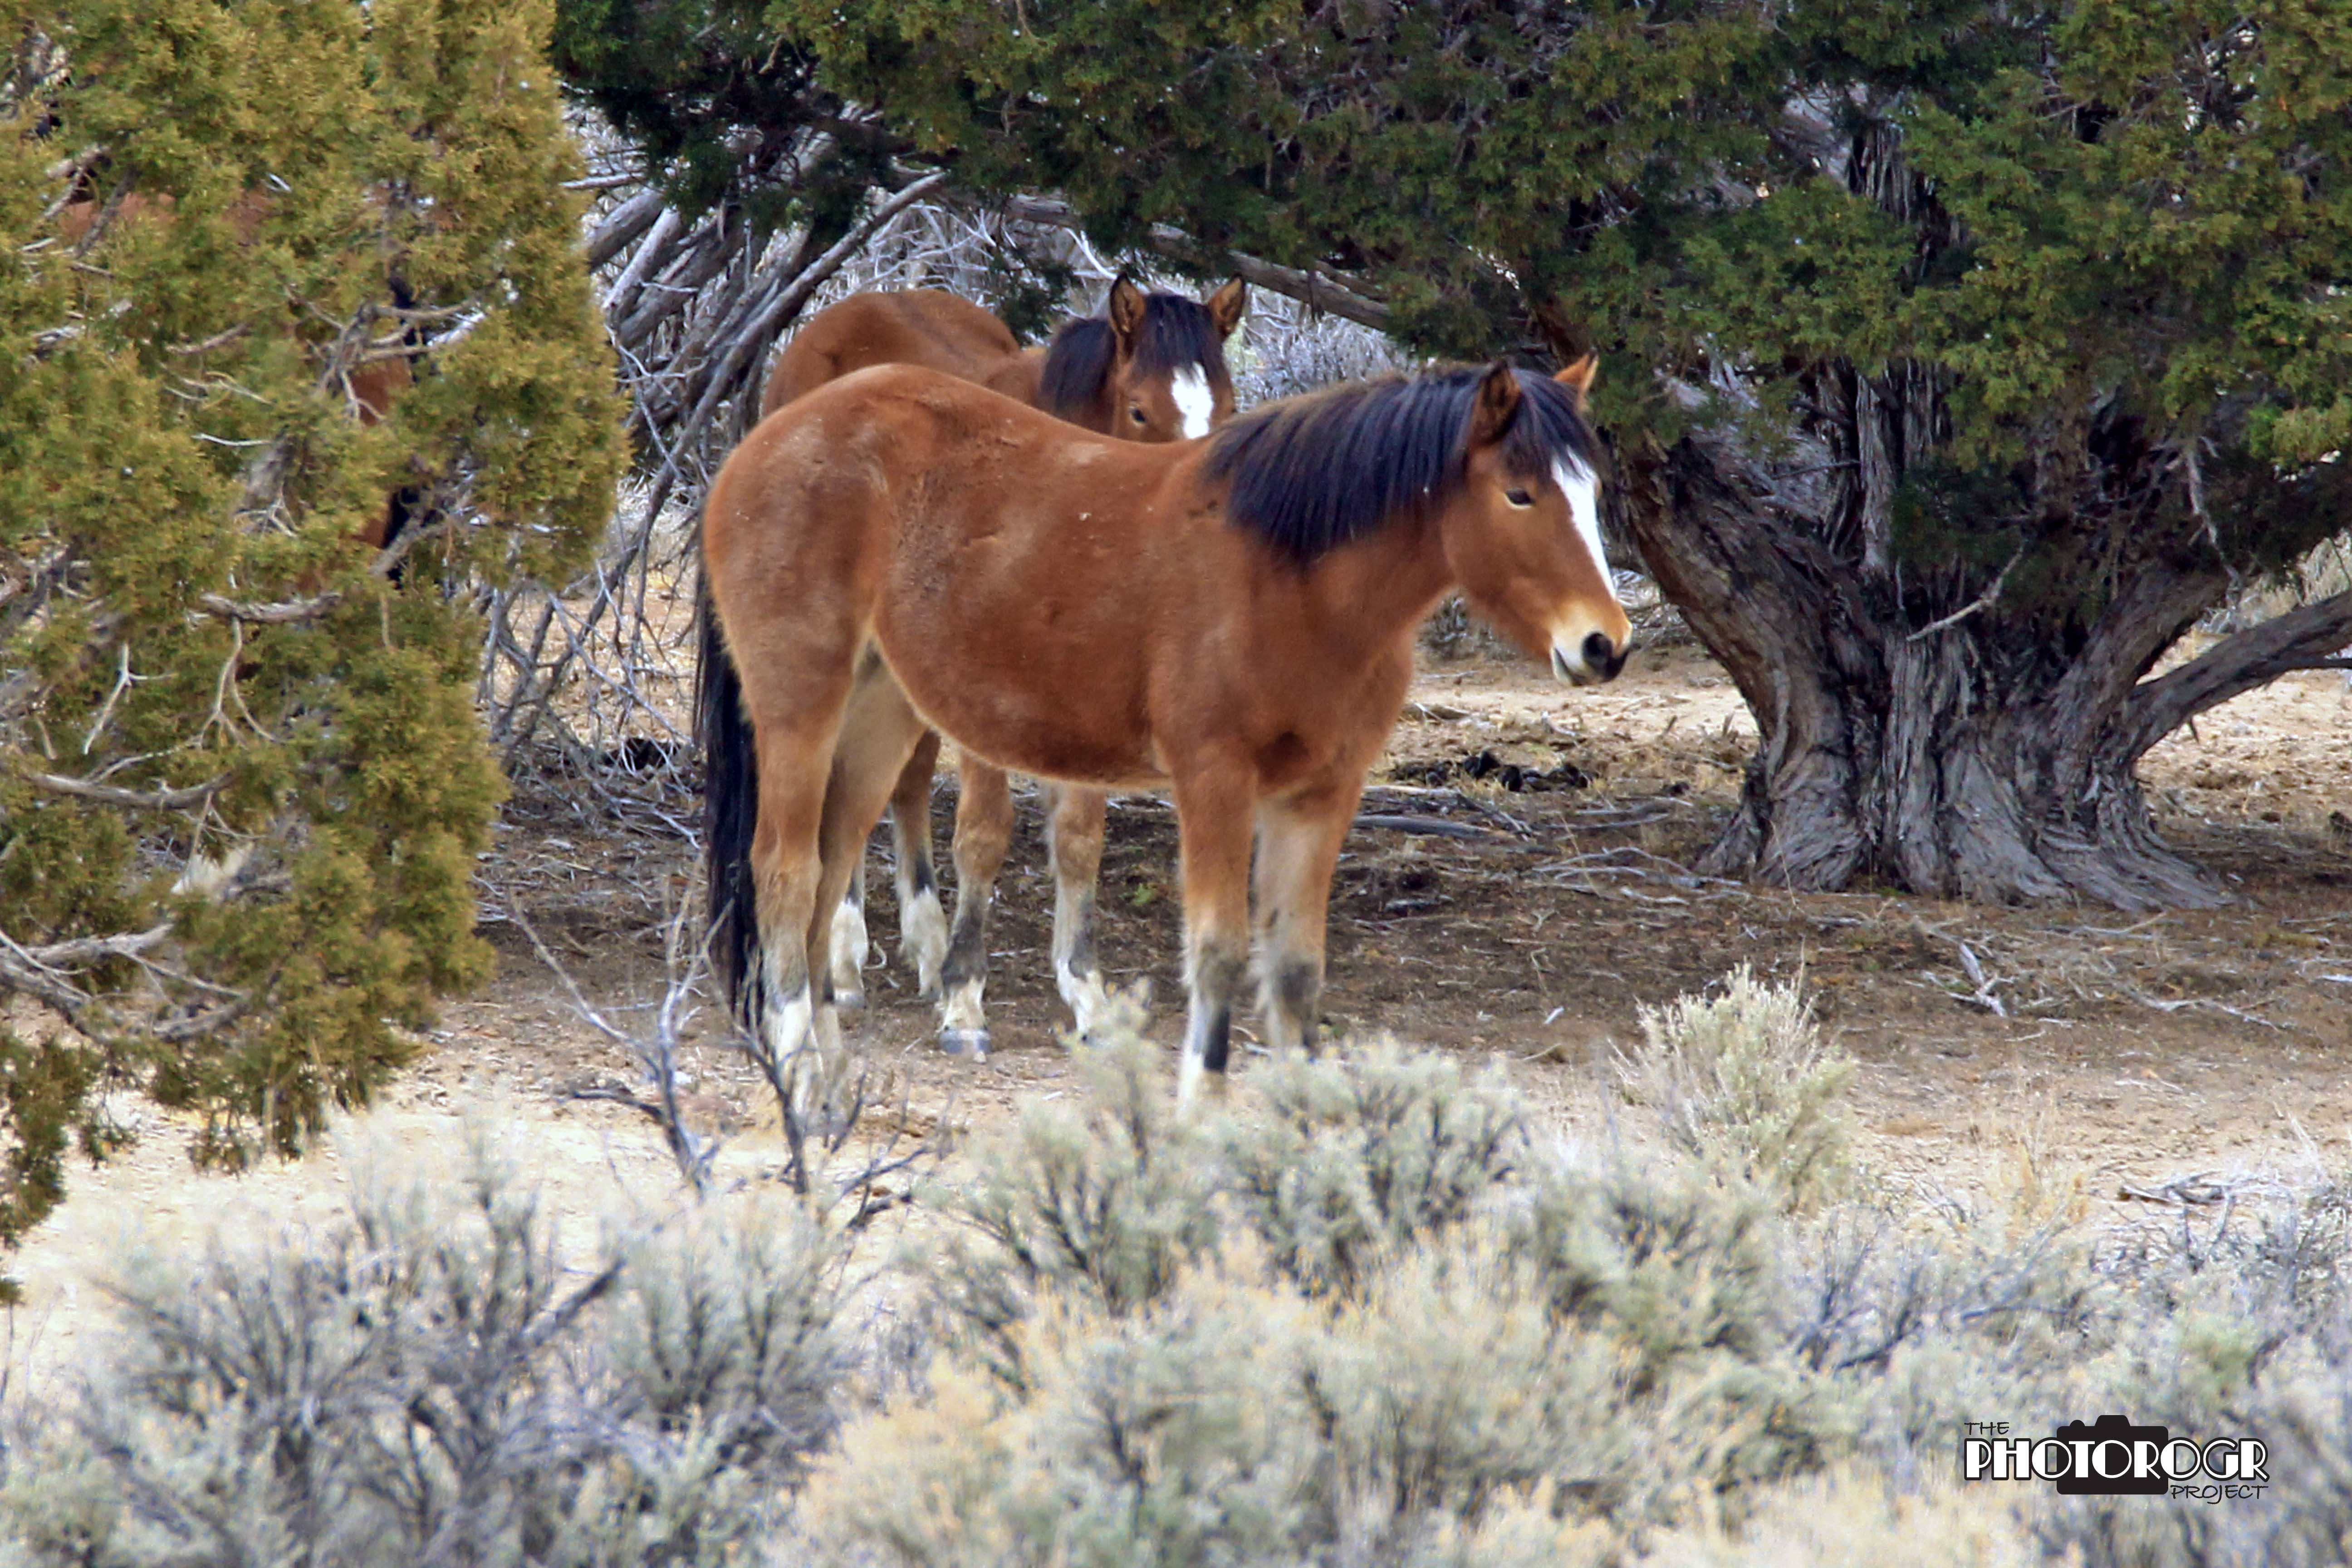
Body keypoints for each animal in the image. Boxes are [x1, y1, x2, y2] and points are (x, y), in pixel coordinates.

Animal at [698, 354, 1629, 1107]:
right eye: (1519, 493)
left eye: (1592, 492)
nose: (1603, 644)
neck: (1290, 577)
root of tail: (756, 446)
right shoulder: (1214, 781)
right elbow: (1216, 953)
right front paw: (1201, 1112)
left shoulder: (1322, 793)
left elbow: (1296, 969)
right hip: (800, 710)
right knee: (785, 874)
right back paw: (797, 1073)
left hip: (879, 719)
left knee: (828, 876)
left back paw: (828, 1079)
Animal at [752, 274, 1247, 1054]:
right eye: (1141, 410)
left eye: (1227, 408)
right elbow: (985, 835)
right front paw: (966, 1002)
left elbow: (1079, 840)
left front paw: (1086, 995)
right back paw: (849, 961)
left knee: (904, 783)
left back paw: (920, 947)